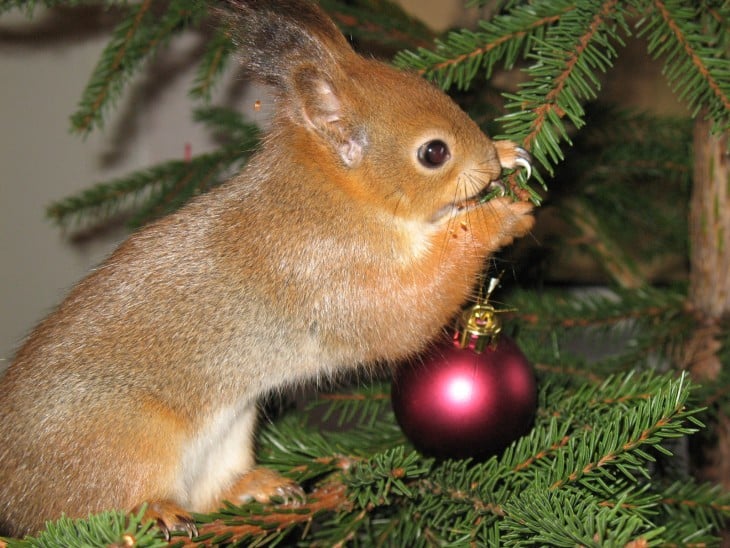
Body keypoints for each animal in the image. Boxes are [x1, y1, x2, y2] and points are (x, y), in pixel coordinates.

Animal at [1, 0, 528, 536]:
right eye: (434, 152)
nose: (487, 162)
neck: (333, 194)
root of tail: (13, 496)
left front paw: (508, 156)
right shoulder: (323, 270)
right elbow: (405, 314)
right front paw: (495, 217)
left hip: (230, 436)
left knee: (211, 495)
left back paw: (256, 488)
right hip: (121, 445)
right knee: (95, 510)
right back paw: (156, 512)